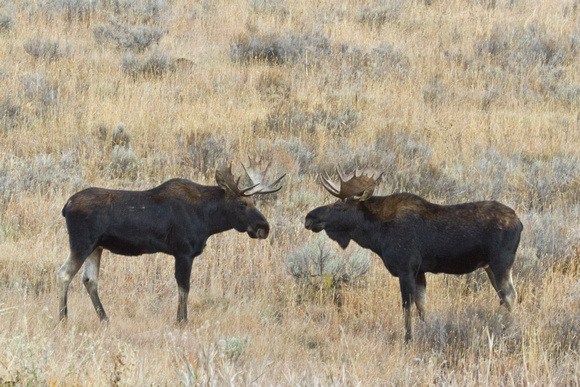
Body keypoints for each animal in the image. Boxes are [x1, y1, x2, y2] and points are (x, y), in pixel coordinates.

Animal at [57, 158, 284, 324]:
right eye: (242, 203)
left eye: (254, 202)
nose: (264, 227)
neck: (208, 220)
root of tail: (66, 206)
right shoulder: (183, 252)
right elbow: (184, 287)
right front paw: (182, 321)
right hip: (81, 244)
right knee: (64, 273)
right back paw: (63, 318)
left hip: (96, 247)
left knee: (89, 280)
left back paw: (104, 318)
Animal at [306, 167, 524, 342]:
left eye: (339, 205)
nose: (309, 217)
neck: (376, 234)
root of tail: (520, 223)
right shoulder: (420, 272)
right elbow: (422, 307)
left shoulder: (406, 269)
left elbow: (407, 307)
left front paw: (408, 339)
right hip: (489, 267)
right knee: (505, 297)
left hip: (501, 263)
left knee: (511, 295)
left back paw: (511, 331)